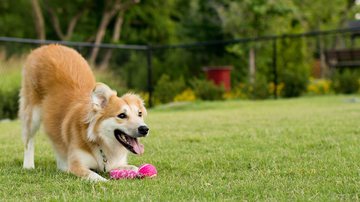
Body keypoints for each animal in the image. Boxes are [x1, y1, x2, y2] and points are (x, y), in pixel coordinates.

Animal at [19, 44, 149, 181]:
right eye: (122, 115)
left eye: (139, 114)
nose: (144, 129)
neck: (101, 141)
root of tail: (48, 46)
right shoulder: (77, 166)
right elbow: (95, 176)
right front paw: (105, 181)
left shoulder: (116, 164)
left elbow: (134, 167)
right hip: (32, 115)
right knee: (28, 141)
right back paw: (28, 165)